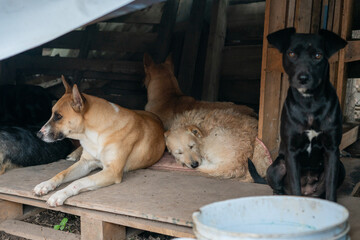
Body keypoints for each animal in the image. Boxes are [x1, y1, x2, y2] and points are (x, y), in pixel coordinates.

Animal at [33, 76, 165, 206]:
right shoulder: (85, 163)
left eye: (59, 116)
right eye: (52, 114)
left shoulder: (112, 171)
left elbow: (79, 182)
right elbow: (62, 173)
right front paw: (46, 184)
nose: (38, 135)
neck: (95, 133)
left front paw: (59, 194)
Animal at [266, 27, 348, 202]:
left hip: (341, 167)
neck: (309, 103)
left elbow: (331, 188)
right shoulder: (292, 151)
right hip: (276, 167)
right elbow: (295, 186)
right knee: (281, 186)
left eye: (317, 55)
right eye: (291, 54)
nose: (303, 78)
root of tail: (308, 193)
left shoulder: (332, 150)